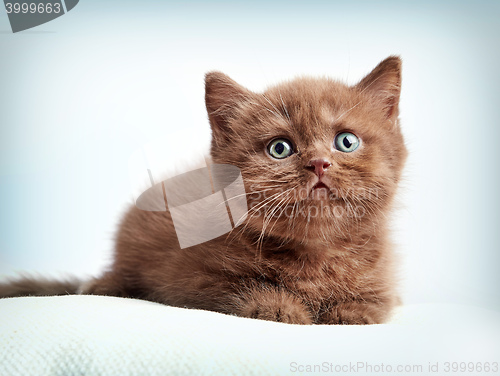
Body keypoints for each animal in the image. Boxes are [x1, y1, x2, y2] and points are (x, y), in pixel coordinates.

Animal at [0, 57, 406, 324]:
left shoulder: (383, 276)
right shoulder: (192, 277)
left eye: (346, 142)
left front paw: (352, 310)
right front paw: (282, 307)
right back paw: (100, 285)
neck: (314, 254)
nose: (319, 163)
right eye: (279, 148)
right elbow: (244, 287)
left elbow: (376, 301)